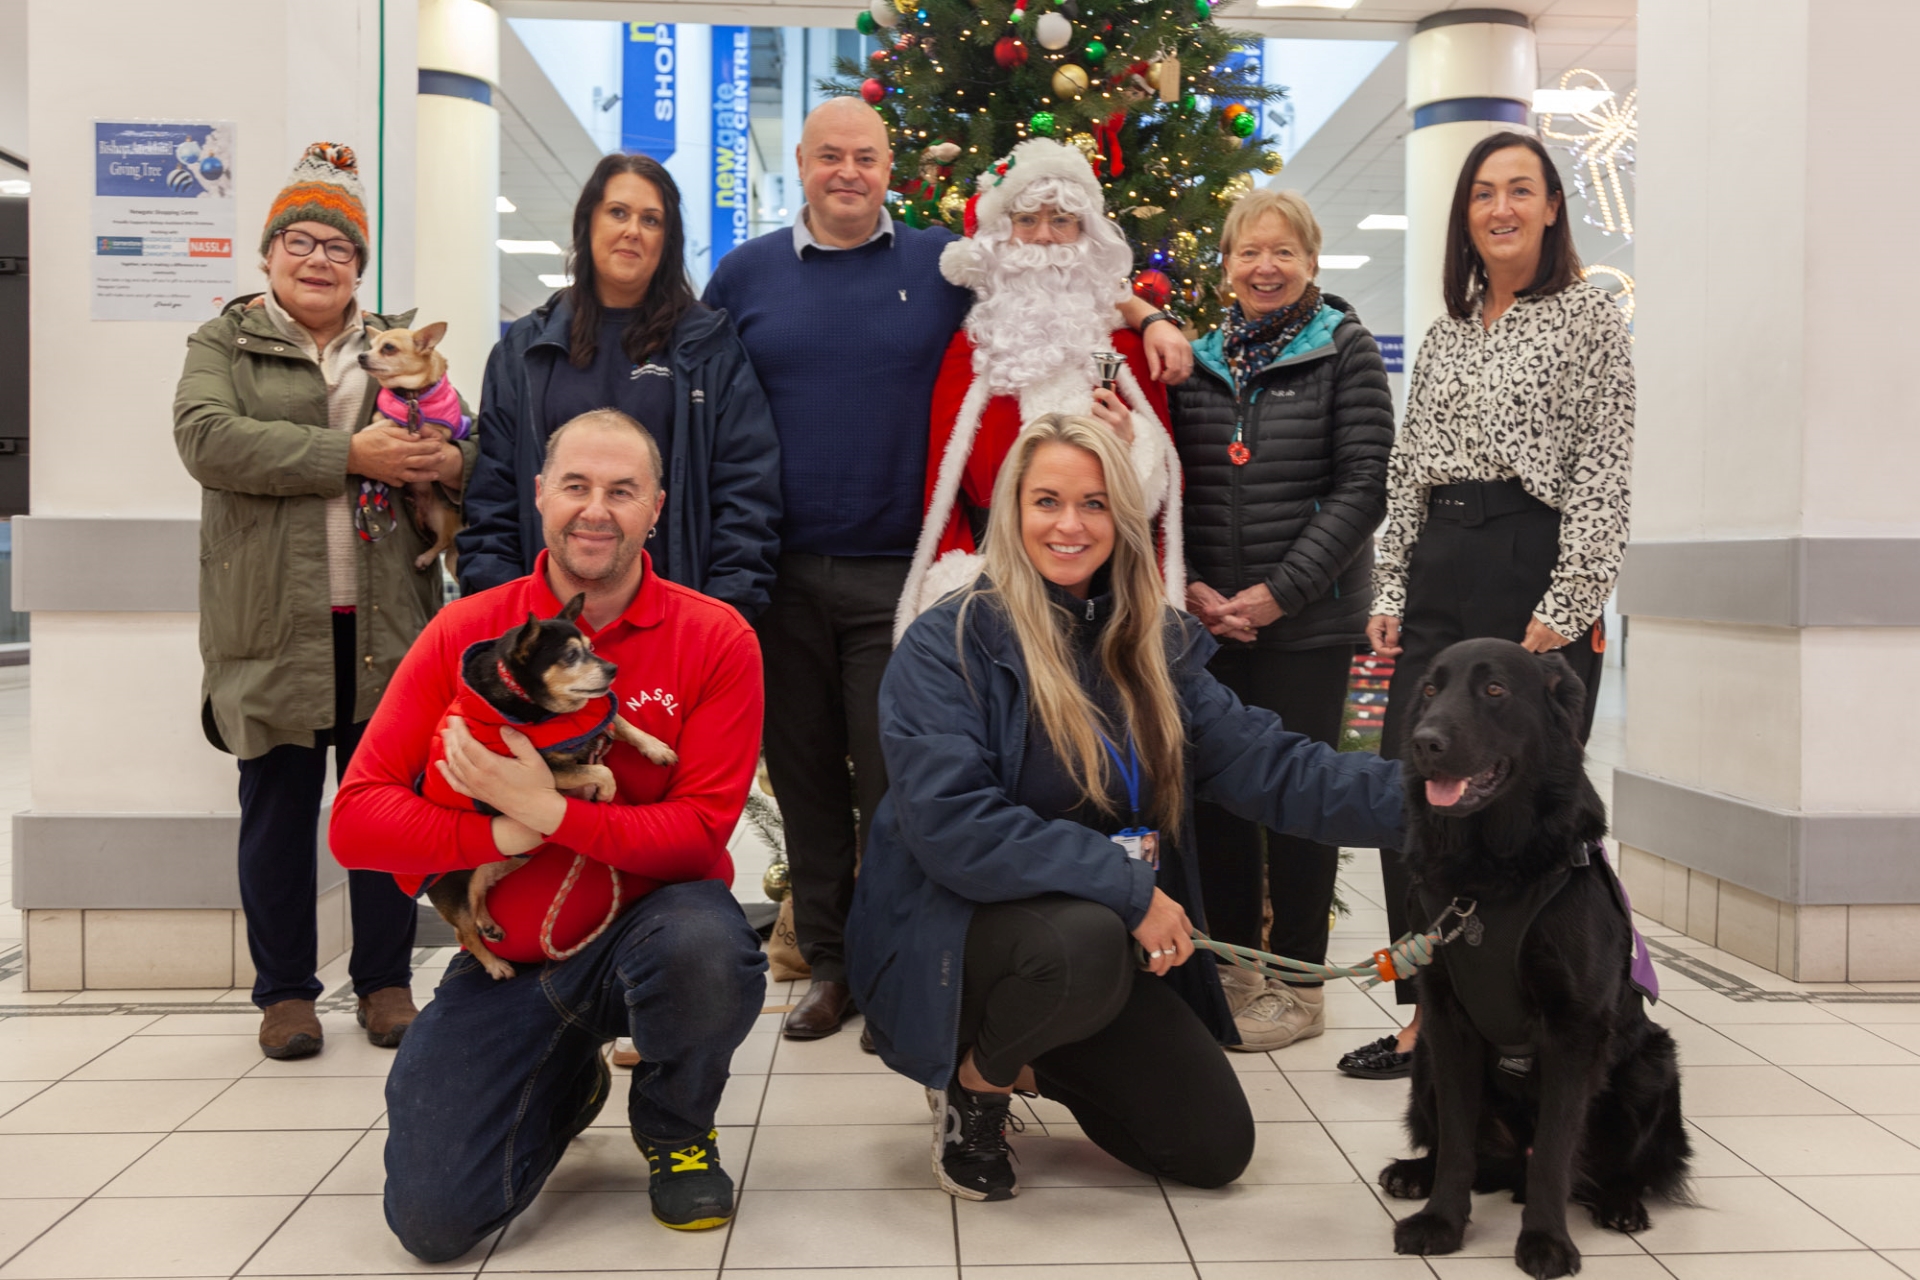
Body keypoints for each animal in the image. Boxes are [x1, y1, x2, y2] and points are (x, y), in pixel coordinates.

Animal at [424, 594, 679, 982]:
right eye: (571, 656)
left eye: (592, 648)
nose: (613, 669)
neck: (545, 710)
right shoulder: (547, 768)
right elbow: (600, 771)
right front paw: (605, 793)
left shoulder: (592, 721)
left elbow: (617, 719)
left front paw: (655, 747)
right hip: (454, 884)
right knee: (462, 930)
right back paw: (495, 964)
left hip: (508, 858)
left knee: (480, 890)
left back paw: (489, 923)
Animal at [1382, 640, 1681, 1280]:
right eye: (1429, 689)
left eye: (1494, 690)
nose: (1424, 742)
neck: (1489, 880)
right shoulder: (1447, 1023)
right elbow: (1457, 1145)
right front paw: (1442, 1221)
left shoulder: (1574, 1030)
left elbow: (1553, 1152)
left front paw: (1545, 1240)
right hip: (1423, 1063)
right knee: (1461, 1149)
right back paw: (1413, 1173)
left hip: (1654, 1064)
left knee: (1623, 1167)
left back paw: (1621, 1204)